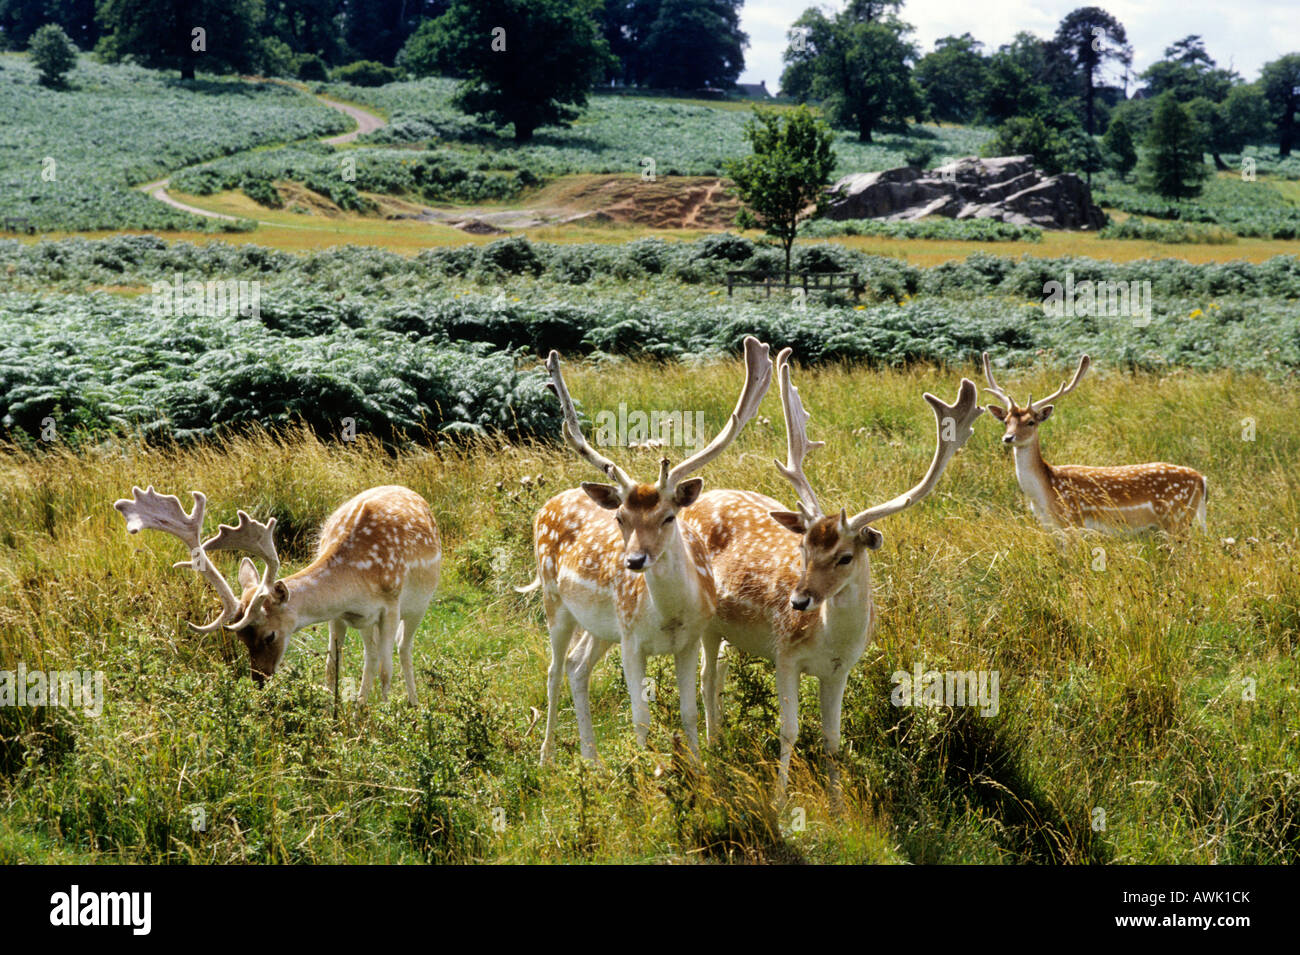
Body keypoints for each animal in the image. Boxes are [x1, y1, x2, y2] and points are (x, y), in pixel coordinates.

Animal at [113, 485, 436, 701]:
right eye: (241, 639)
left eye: (270, 635)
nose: (259, 680)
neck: (359, 577)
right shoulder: (341, 615)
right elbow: (332, 667)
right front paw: (339, 718)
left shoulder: (390, 604)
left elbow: (386, 671)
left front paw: (382, 725)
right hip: (366, 623)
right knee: (371, 653)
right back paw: (361, 707)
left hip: (419, 605)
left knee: (402, 647)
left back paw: (412, 706)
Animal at [525, 337, 774, 769]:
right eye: (621, 517)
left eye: (669, 516)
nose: (634, 561)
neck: (668, 617)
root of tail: (546, 505)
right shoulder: (632, 640)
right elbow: (640, 717)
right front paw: (643, 776)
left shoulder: (688, 640)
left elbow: (689, 710)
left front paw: (697, 768)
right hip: (554, 599)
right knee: (555, 669)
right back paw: (546, 757)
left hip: (600, 626)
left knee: (576, 666)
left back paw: (591, 759)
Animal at [686, 350, 977, 789]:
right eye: (803, 548)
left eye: (845, 557)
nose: (798, 601)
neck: (829, 641)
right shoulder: (785, 653)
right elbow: (789, 732)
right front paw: (781, 800)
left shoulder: (840, 671)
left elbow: (833, 739)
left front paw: (837, 797)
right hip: (705, 620)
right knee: (705, 678)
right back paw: (712, 748)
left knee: (717, 674)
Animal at [982, 353, 1206, 535]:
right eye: (1006, 421)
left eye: (1031, 422)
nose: (1008, 438)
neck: (1043, 496)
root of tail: (1201, 479)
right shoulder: (1051, 528)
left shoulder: (1072, 522)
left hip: (1176, 518)